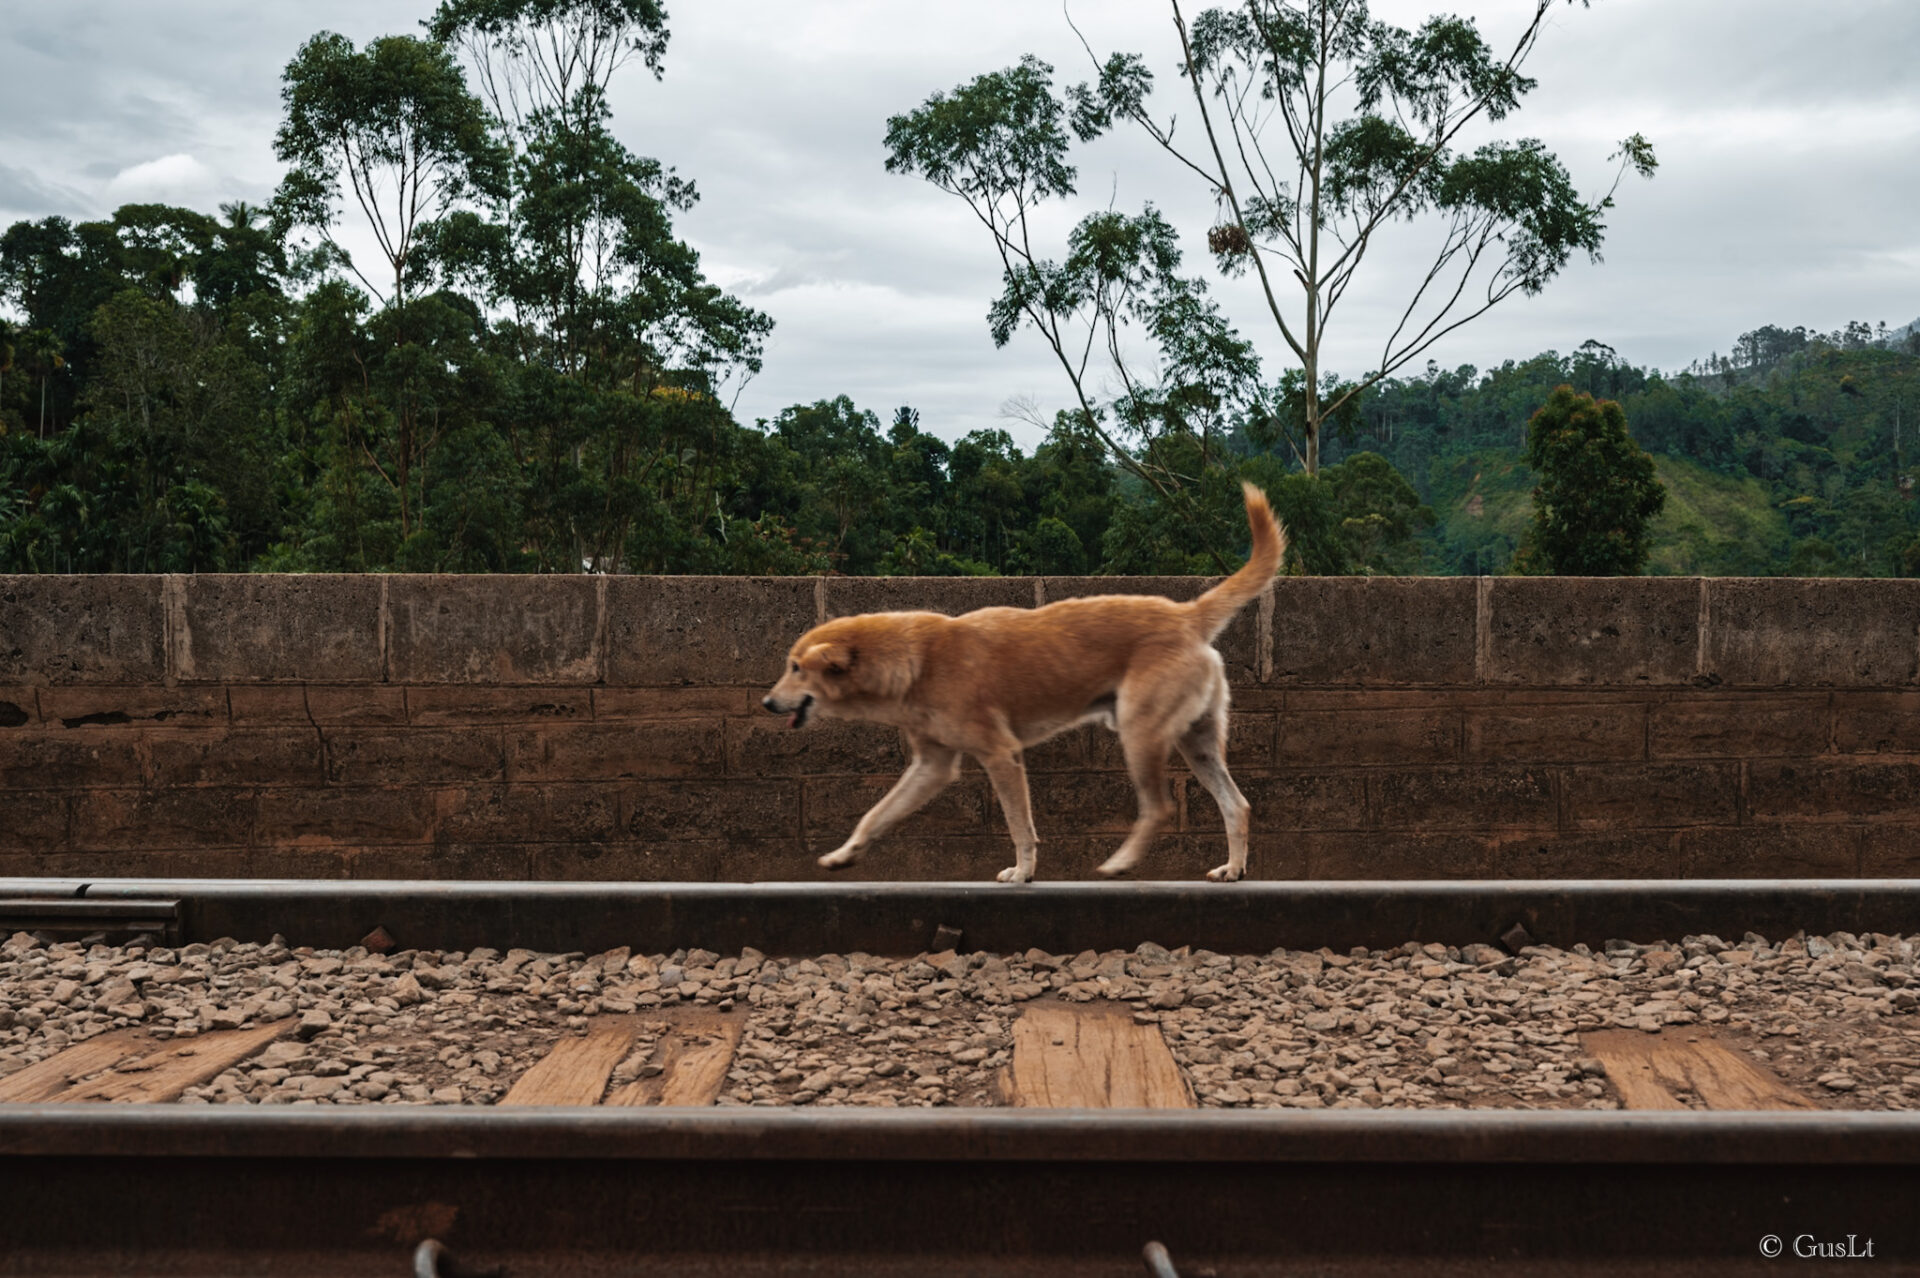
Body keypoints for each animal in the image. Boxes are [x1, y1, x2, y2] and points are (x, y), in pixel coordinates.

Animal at [756, 483, 1282, 882]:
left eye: (796, 667)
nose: (765, 702)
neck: (915, 660)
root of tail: (1186, 614)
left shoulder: (1000, 755)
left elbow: (1018, 825)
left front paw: (1023, 872)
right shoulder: (932, 766)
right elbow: (877, 813)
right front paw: (844, 854)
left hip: (1141, 734)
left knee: (1160, 808)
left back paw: (1121, 863)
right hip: (1198, 742)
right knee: (1237, 805)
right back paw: (1233, 868)